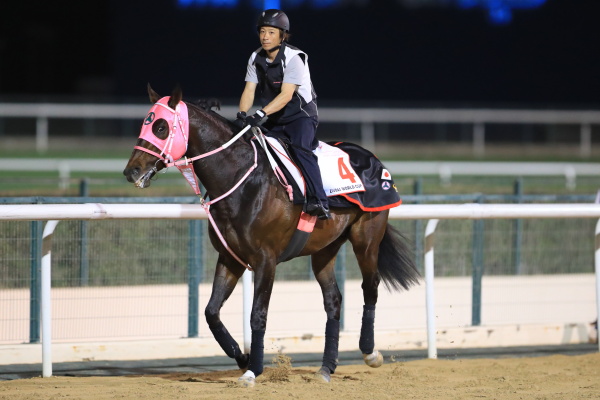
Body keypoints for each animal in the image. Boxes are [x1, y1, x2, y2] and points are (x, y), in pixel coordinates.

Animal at [123, 85, 422, 388]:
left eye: (160, 127)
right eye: (145, 123)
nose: (131, 171)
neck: (241, 178)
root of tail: (373, 161)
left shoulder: (265, 259)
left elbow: (258, 315)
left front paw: (253, 370)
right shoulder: (230, 257)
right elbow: (211, 312)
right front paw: (241, 357)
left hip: (366, 239)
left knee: (370, 287)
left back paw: (370, 352)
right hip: (324, 249)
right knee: (333, 300)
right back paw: (326, 367)